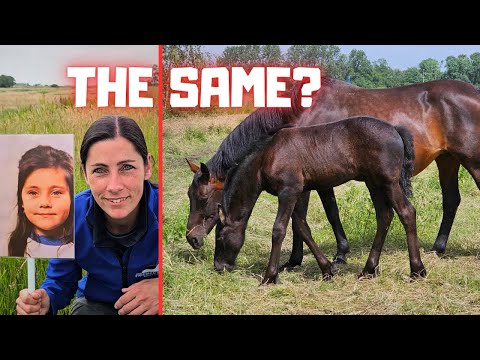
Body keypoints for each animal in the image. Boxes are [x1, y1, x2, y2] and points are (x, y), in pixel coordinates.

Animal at [187, 76, 480, 264]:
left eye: (202, 197)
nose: (192, 239)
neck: (302, 111)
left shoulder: (310, 181)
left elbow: (315, 215)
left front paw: (299, 259)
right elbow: (322, 214)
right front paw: (337, 253)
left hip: (471, 162)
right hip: (448, 160)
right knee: (451, 200)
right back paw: (438, 248)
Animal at [214, 116, 424, 282]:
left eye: (220, 236)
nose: (218, 266)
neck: (268, 155)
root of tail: (395, 129)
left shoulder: (288, 192)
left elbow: (279, 230)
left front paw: (269, 276)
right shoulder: (298, 193)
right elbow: (302, 228)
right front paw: (327, 269)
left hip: (389, 183)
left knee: (407, 213)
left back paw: (417, 270)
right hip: (374, 184)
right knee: (384, 217)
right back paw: (368, 270)